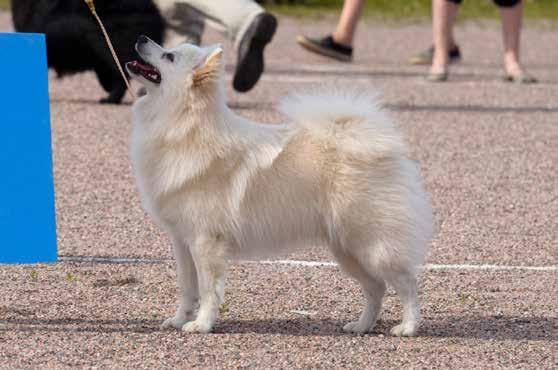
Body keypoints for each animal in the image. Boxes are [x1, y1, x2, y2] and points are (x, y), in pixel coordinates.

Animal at [129, 36, 436, 336]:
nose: (141, 38)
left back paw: (408, 327)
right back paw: (361, 326)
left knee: (407, 283)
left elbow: (207, 290)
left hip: (373, 245)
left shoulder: (206, 241)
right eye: (168, 48)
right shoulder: (183, 241)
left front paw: (201, 324)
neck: (183, 125)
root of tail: (379, 145)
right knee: (376, 288)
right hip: (347, 249)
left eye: (169, 56)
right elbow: (187, 288)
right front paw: (179, 320)